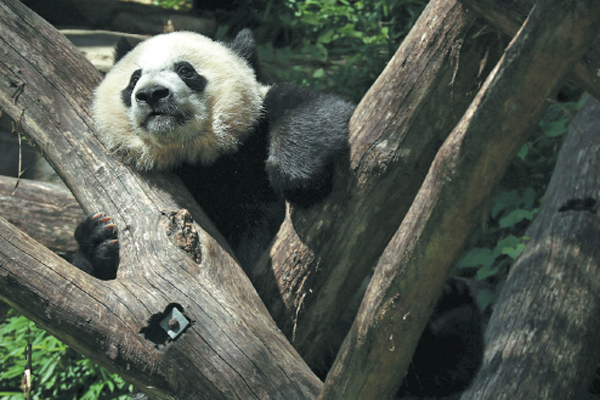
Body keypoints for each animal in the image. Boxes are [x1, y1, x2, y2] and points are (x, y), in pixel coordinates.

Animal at [71, 30, 482, 396]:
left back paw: (453, 308)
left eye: (186, 70)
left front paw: (296, 175)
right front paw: (101, 240)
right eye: (134, 78)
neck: (196, 158)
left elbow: (314, 109)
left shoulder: (253, 134)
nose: (152, 93)